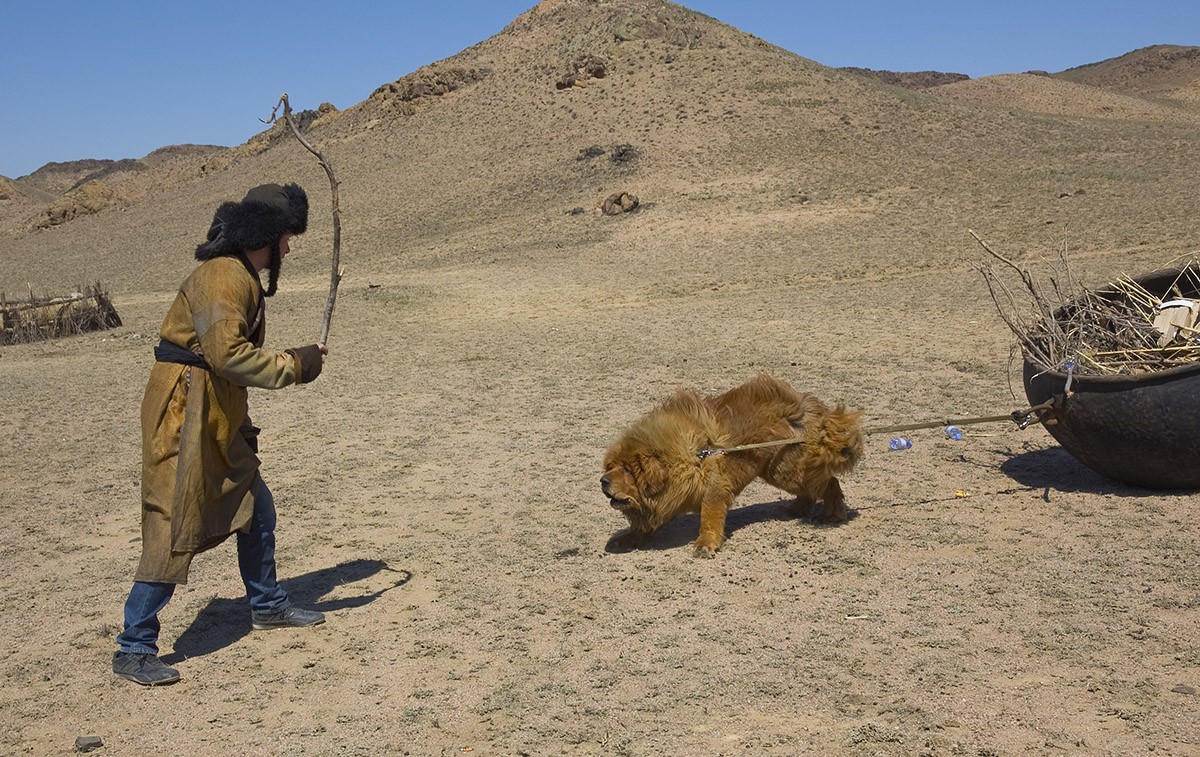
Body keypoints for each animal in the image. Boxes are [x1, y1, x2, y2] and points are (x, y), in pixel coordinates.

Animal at [600, 374, 864, 556]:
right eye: (610, 467)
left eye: (627, 470)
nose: (602, 481)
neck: (687, 456)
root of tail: (804, 405)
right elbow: (643, 525)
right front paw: (627, 539)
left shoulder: (715, 488)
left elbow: (709, 517)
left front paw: (705, 544)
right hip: (779, 470)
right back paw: (796, 510)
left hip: (784, 470)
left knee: (829, 483)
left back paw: (831, 515)